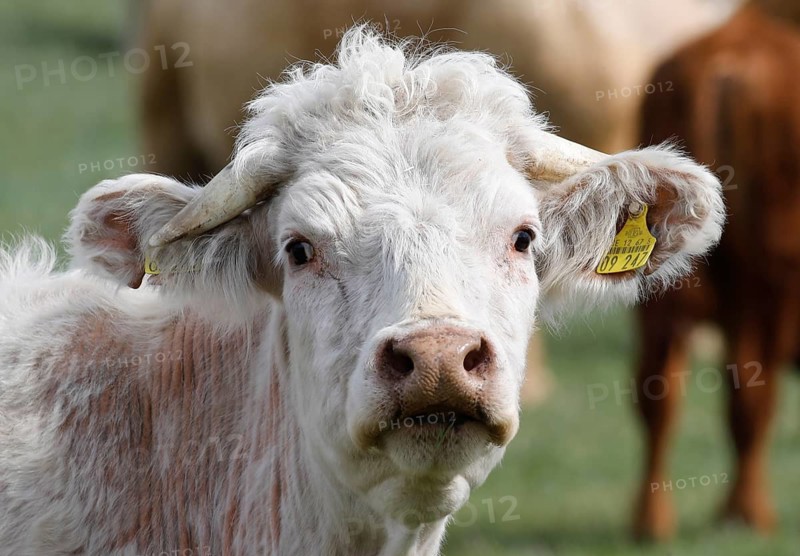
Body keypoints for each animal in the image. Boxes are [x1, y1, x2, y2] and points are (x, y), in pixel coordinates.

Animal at [634, 4, 800, 540]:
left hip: (660, 290)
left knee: (657, 392)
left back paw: (651, 523)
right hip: (766, 286)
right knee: (751, 398)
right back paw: (749, 514)